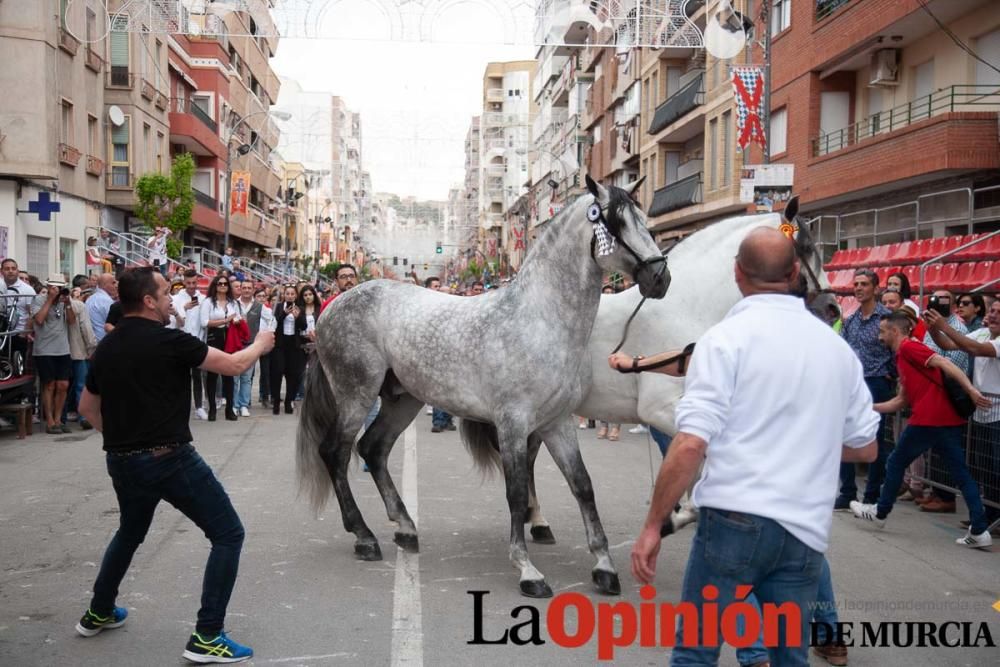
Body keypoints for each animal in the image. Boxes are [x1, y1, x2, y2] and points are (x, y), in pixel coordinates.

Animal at [296, 175, 672, 596]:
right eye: (617, 223)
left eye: (643, 219)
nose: (660, 278)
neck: (539, 320)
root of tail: (333, 306)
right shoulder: (512, 424)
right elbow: (516, 492)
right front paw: (528, 570)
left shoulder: (557, 423)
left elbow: (582, 485)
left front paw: (604, 567)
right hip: (356, 395)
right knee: (336, 452)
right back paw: (364, 536)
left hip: (402, 400)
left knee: (373, 449)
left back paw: (405, 528)